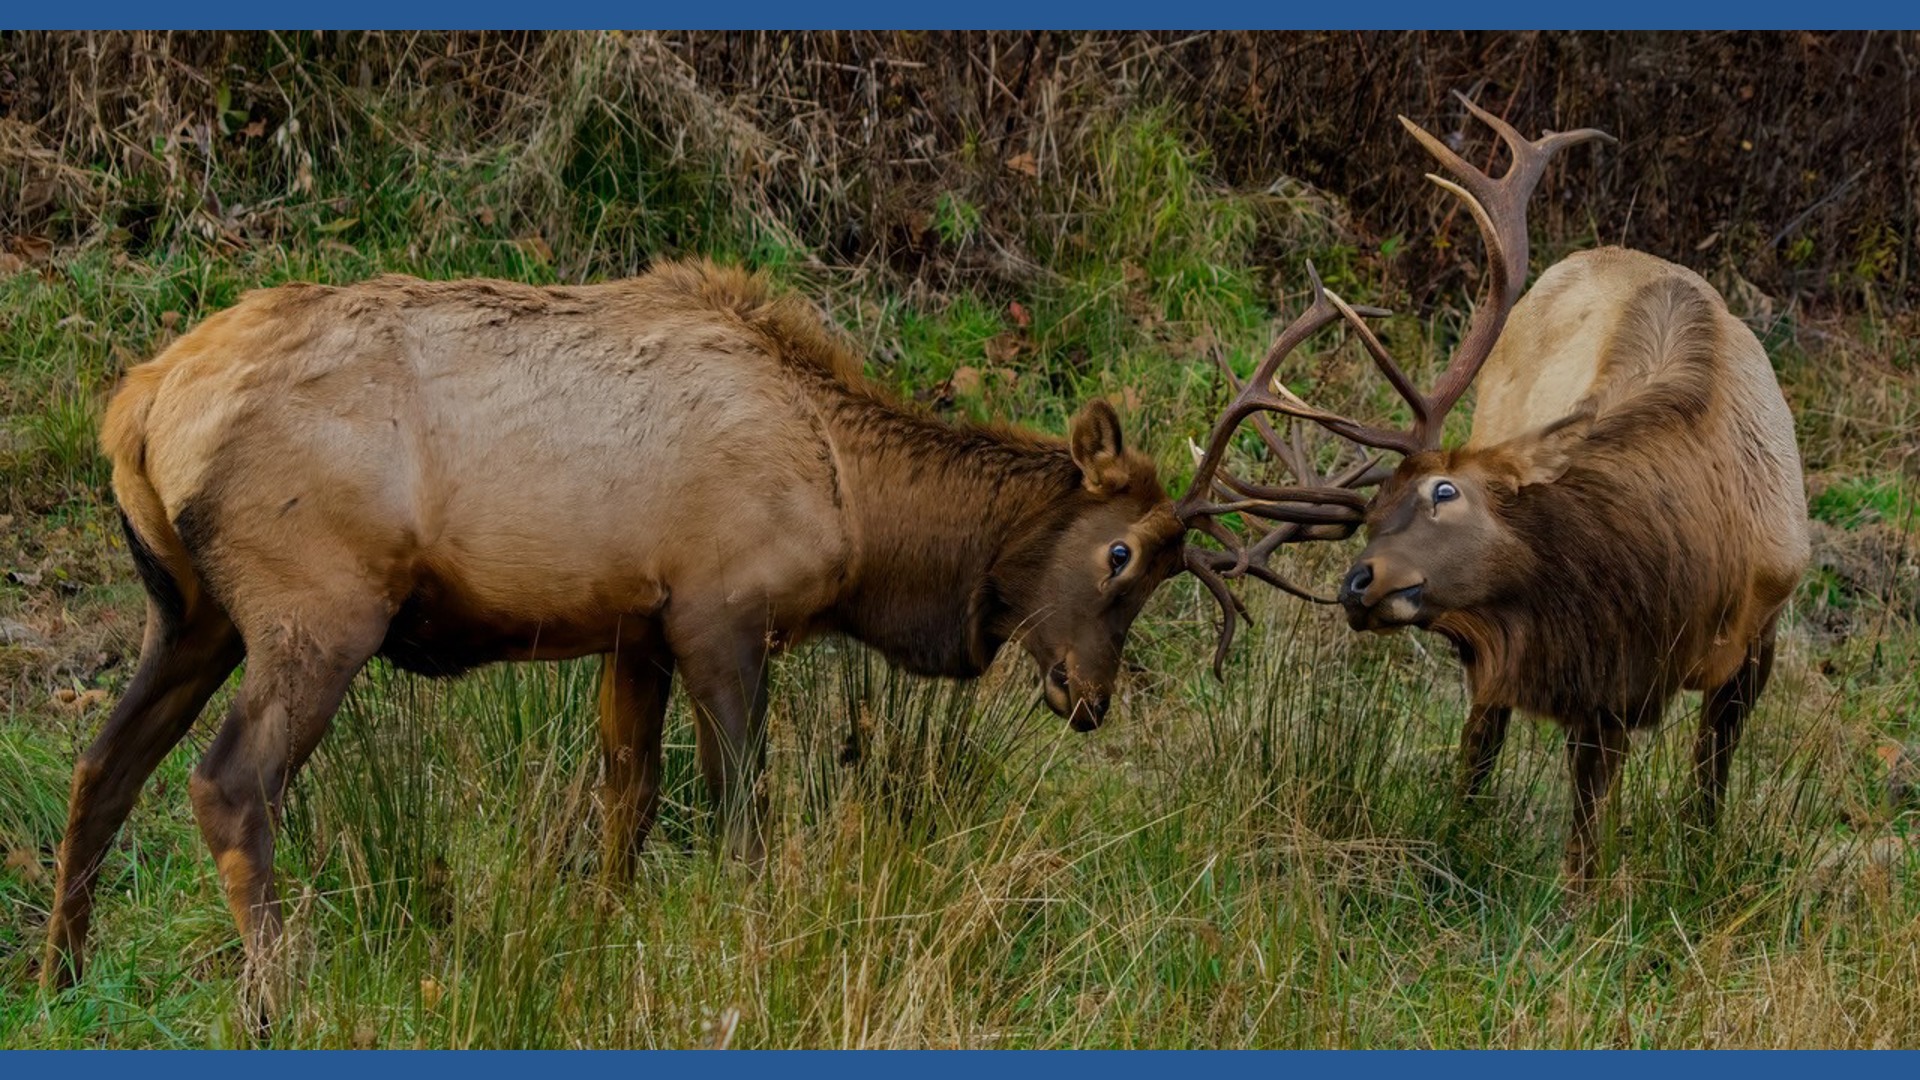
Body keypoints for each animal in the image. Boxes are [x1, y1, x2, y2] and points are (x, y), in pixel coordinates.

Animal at [44, 261, 1195, 1003]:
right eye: (1121, 556)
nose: (1090, 697)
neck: (857, 513)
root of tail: (137, 404)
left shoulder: (636, 626)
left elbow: (625, 801)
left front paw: (600, 941)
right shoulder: (721, 612)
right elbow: (740, 812)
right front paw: (755, 946)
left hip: (191, 615)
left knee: (102, 767)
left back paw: (61, 976)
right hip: (315, 606)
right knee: (226, 782)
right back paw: (277, 998)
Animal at [1175, 93, 1810, 883]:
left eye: (1446, 492)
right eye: (1371, 520)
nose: (1357, 583)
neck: (1684, 579)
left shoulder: (1758, 631)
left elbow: (1704, 786)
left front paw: (1696, 864)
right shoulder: (1600, 684)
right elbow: (1586, 831)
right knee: (1480, 741)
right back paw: (1459, 830)